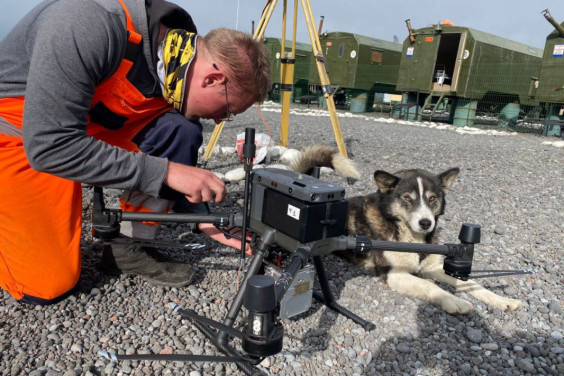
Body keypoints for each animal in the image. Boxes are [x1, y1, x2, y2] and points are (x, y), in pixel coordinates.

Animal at [290, 145, 524, 316]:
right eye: (407, 198)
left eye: (432, 198)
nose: (426, 223)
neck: (411, 236)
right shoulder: (396, 275)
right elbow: (431, 286)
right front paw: (455, 301)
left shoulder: (433, 267)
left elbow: (470, 283)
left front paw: (503, 300)